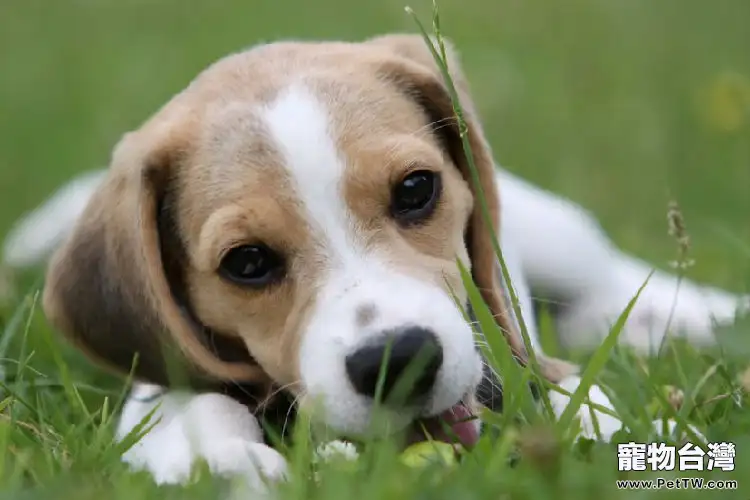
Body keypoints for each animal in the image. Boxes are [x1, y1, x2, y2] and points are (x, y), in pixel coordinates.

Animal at [2, 34, 748, 492]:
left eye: (416, 189)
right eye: (247, 262)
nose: (400, 359)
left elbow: (570, 394)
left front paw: (609, 429)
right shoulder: (162, 383)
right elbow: (195, 408)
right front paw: (229, 463)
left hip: (555, 234)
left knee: (612, 279)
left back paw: (703, 318)